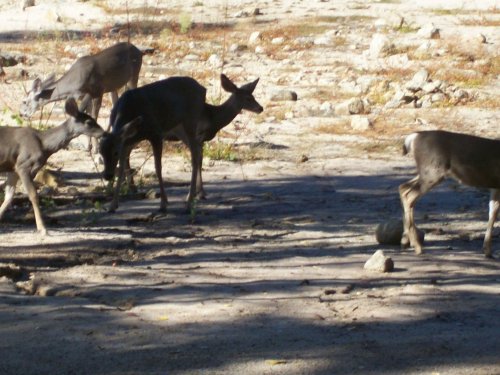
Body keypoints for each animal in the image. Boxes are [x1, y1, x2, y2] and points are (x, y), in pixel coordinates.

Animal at [0, 99, 103, 235]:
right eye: (89, 122)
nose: (104, 132)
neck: (44, 145)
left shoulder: (13, 168)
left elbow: (9, 196)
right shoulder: (23, 165)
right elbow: (33, 195)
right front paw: (42, 228)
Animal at [97, 74, 262, 214]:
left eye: (115, 152)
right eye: (100, 151)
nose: (260, 108)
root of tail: (201, 88)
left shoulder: (156, 133)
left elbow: (158, 168)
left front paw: (165, 203)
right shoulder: (128, 140)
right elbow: (122, 167)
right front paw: (112, 205)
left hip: (189, 122)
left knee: (195, 157)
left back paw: (188, 202)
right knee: (194, 157)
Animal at [400, 130, 500, 258]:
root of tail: (413, 137)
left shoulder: (495, 186)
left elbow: (492, 212)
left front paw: (487, 250)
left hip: (428, 173)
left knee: (403, 188)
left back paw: (406, 241)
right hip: (433, 171)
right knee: (409, 196)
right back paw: (417, 246)